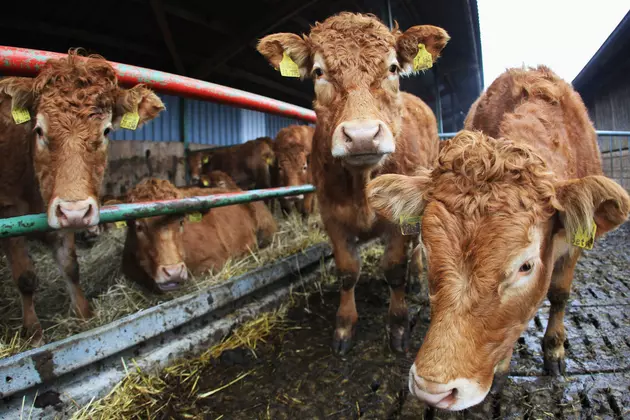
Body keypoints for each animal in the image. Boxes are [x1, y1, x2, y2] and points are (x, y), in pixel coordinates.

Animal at [0, 50, 165, 344]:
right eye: (38, 129)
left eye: (106, 131)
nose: (75, 211)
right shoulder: (9, 211)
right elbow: (25, 277)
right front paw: (34, 333)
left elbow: (70, 267)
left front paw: (85, 315)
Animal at [260, 13, 452, 352]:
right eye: (319, 71)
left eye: (392, 68)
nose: (362, 135)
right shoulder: (331, 215)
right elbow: (347, 271)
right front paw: (344, 326)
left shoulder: (397, 218)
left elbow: (394, 268)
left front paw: (398, 324)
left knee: (417, 244)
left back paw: (417, 279)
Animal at [368, 65, 628, 410]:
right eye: (428, 247)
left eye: (525, 267)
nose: (433, 390)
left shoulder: (573, 247)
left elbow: (559, 294)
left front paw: (554, 349)